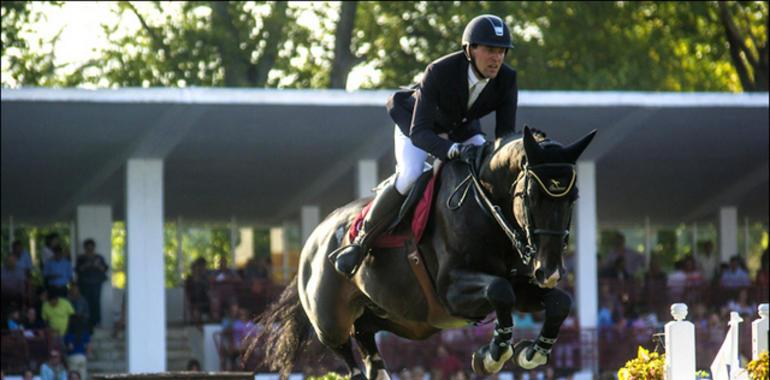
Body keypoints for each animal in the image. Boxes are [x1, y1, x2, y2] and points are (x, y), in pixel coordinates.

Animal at [249, 127, 596, 378]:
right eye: (531, 195)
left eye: (574, 197)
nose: (549, 271)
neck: (486, 208)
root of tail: (312, 239)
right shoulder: (452, 291)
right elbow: (500, 292)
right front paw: (492, 354)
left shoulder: (522, 285)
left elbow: (559, 302)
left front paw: (532, 351)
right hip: (330, 321)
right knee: (348, 356)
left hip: (390, 318)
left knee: (369, 347)